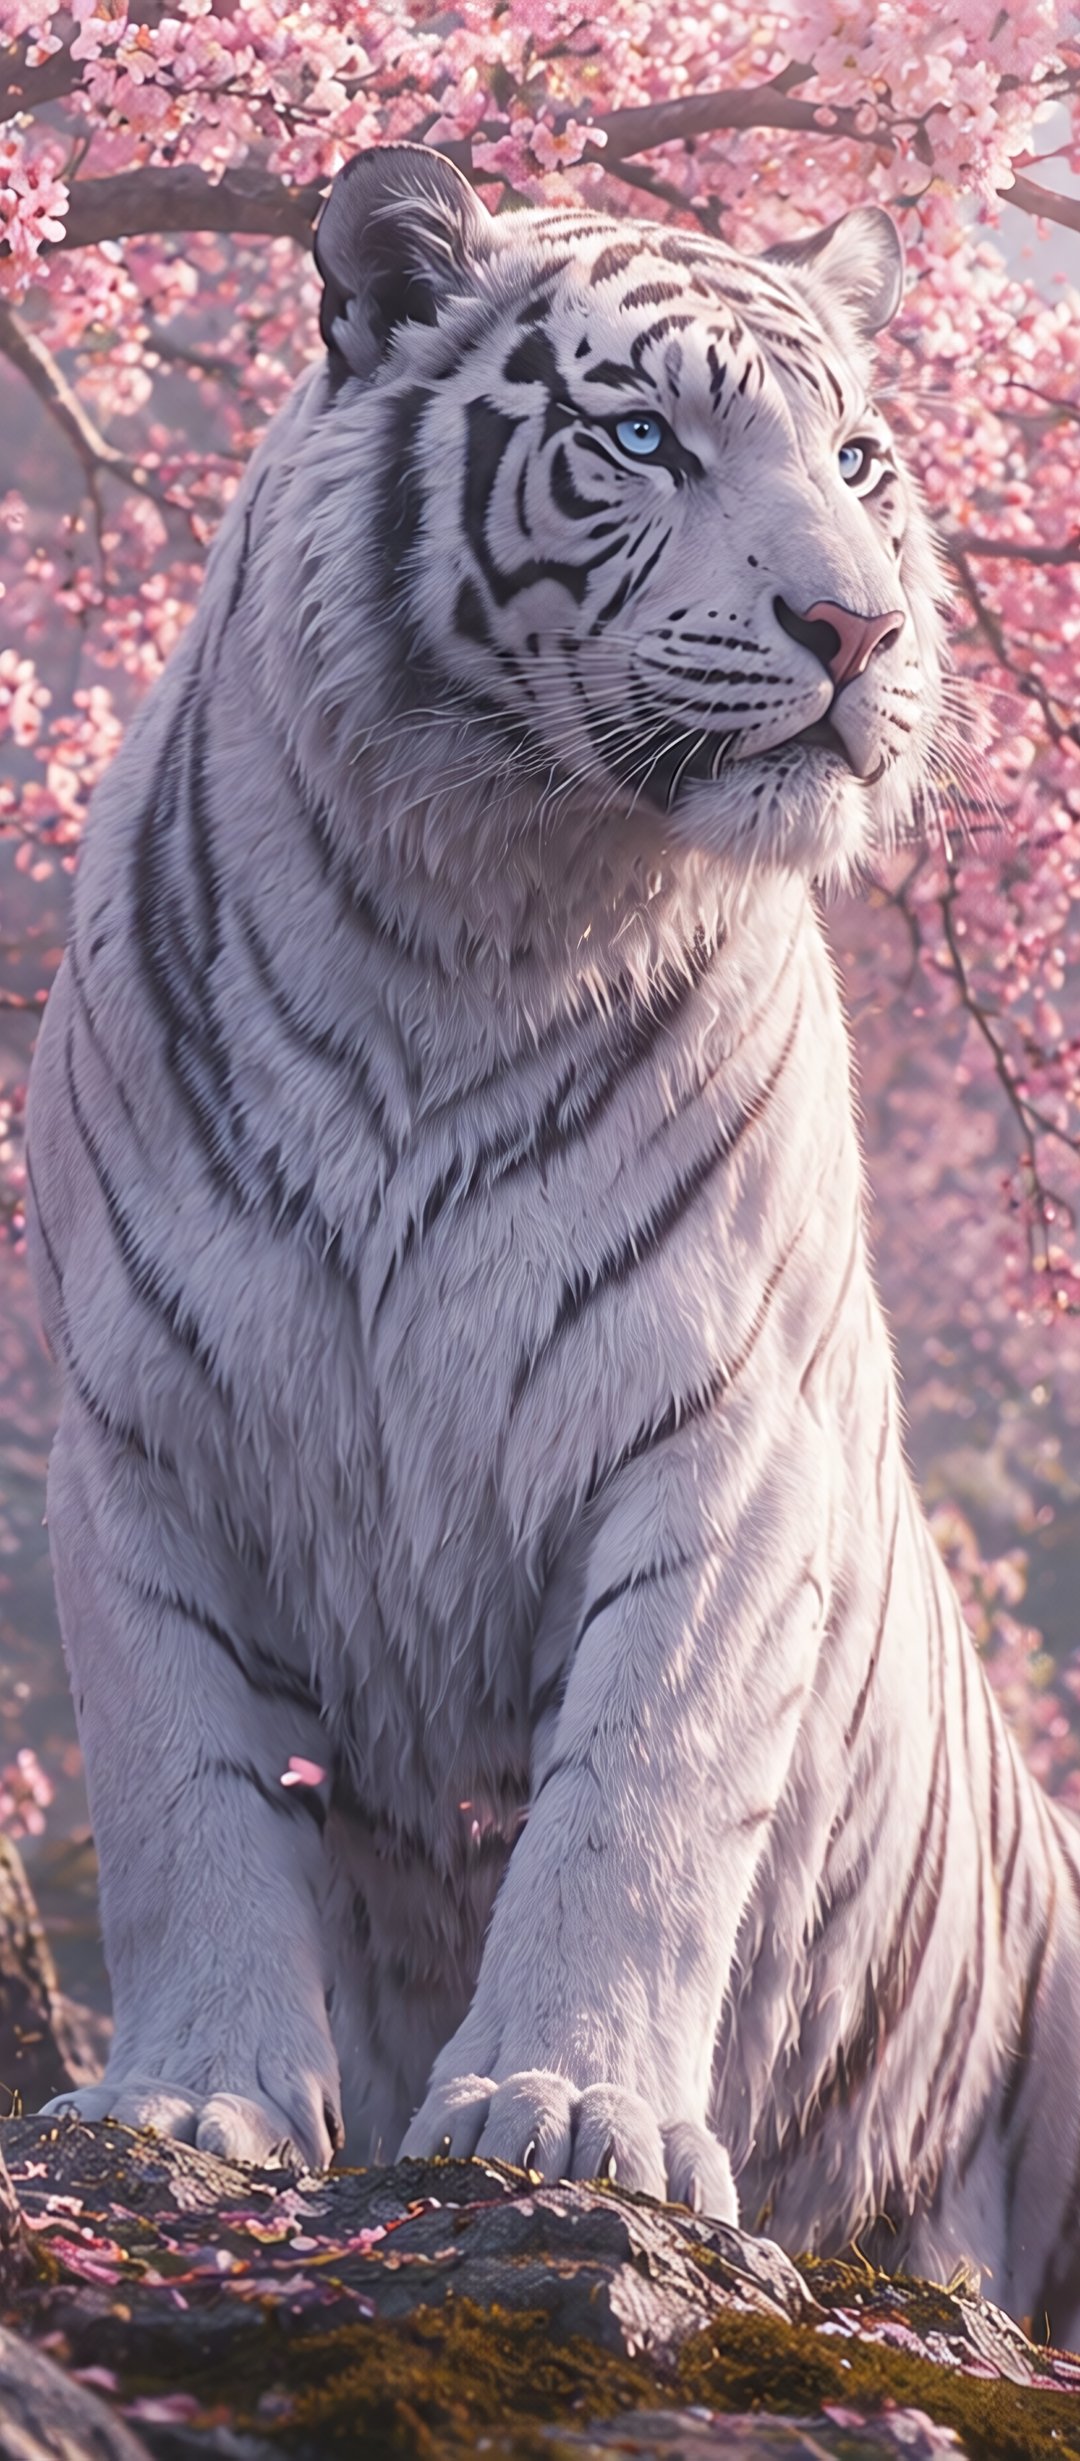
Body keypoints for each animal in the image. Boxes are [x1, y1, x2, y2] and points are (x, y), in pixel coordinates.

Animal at [25, 141, 1080, 2343]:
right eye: (641, 438)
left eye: (860, 457)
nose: (855, 626)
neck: (469, 906)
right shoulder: (138, 1431)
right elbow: (182, 1787)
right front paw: (187, 2106)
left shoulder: (724, 1440)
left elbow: (639, 1798)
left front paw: (567, 2117)